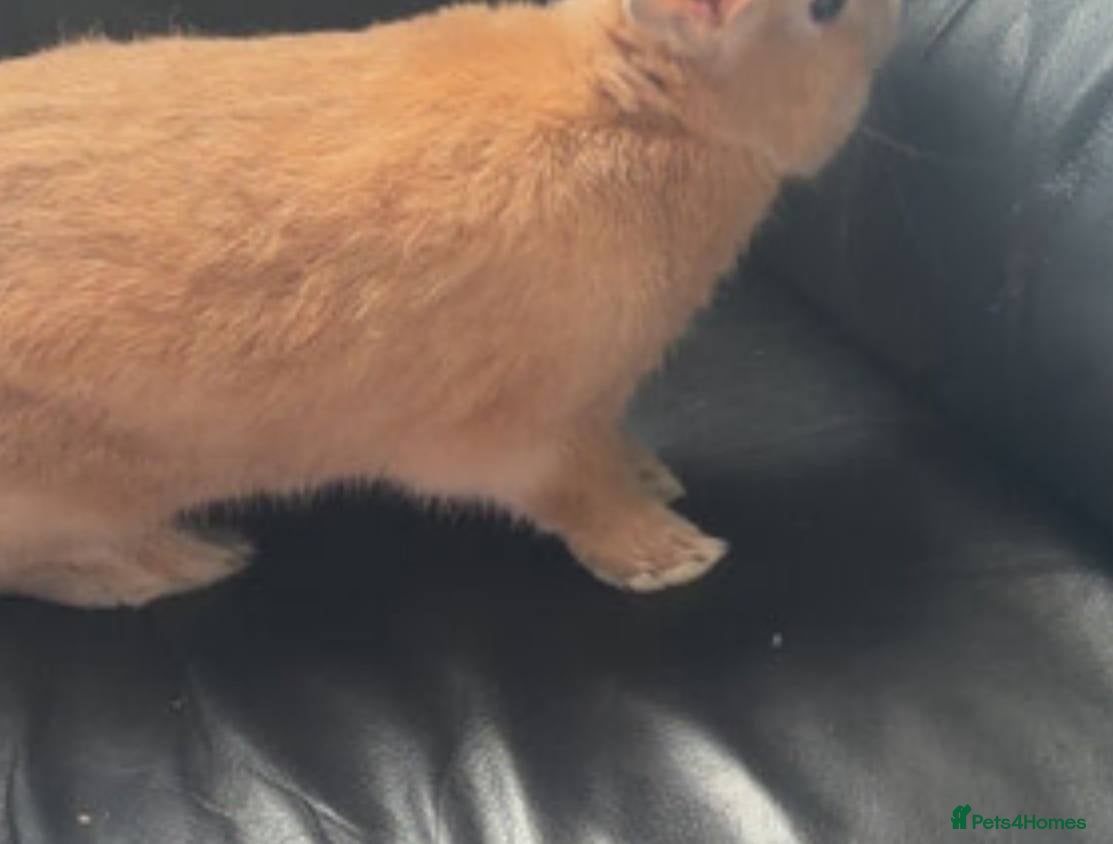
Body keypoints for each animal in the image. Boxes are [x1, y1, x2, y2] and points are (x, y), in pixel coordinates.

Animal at [0, 0, 901, 607]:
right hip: (73, 490)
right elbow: (577, 492)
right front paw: (672, 556)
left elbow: (611, 450)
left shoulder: (595, 403)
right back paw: (178, 563)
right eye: (823, 11)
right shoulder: (525, 426)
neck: (633, 102)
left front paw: (652, 474)